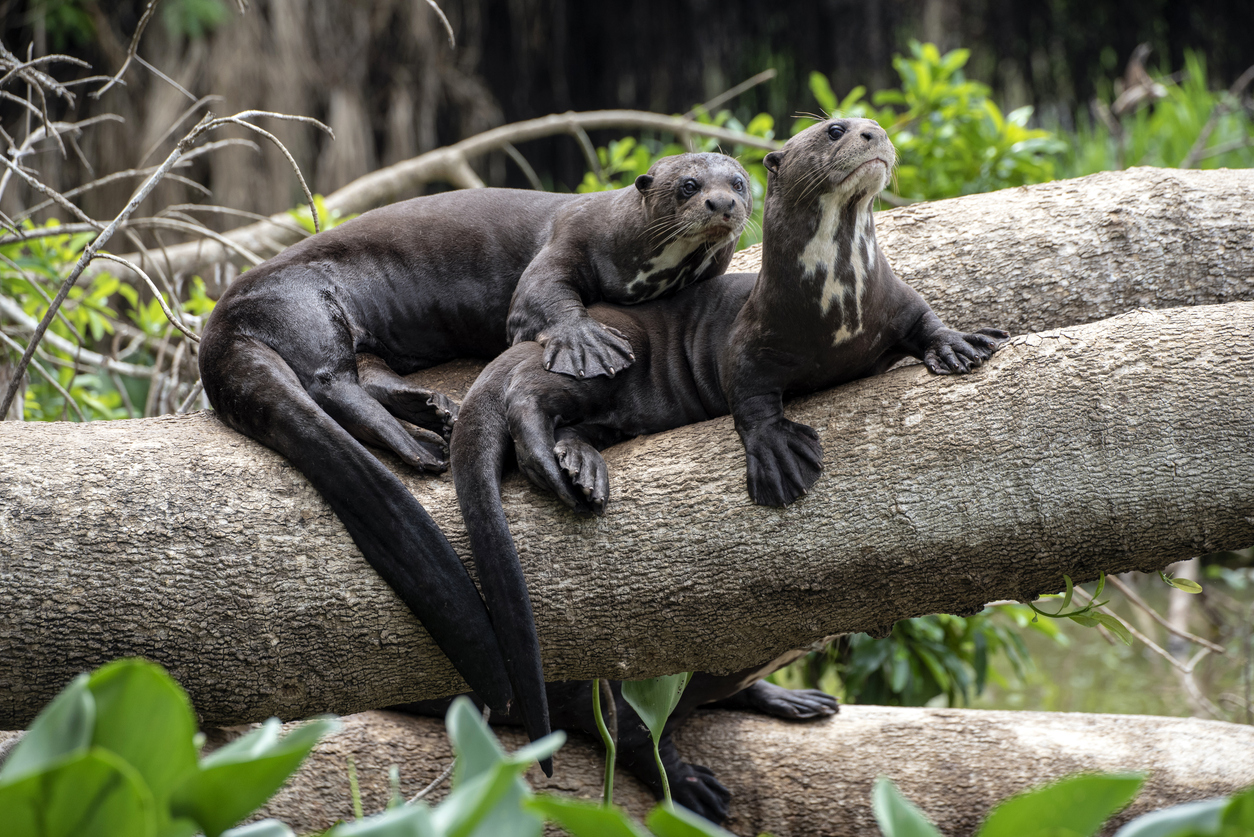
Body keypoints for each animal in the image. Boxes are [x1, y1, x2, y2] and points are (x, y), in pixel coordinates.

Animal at [197, 153, 752, 766]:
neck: (634, 253)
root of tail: (217, 326)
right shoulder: (568, 239)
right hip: (306, 307)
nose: (723, 204)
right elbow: (540, 299)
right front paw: (587, 343)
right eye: (689, 185)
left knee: (366, 375)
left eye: (739, 182)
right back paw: (422, 446)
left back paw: (437, 414)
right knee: (329, 382)